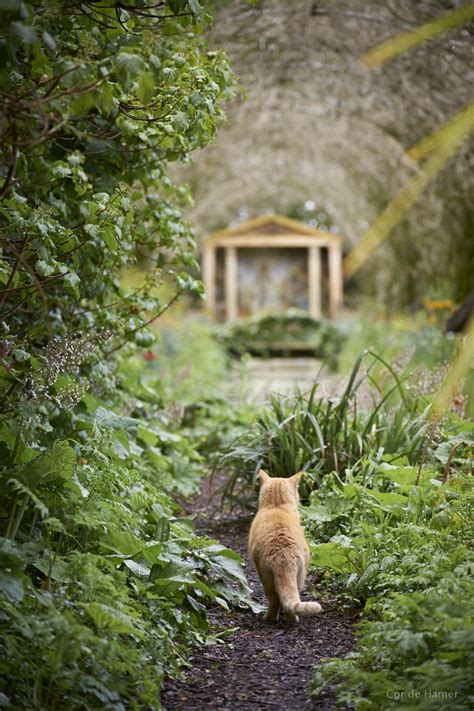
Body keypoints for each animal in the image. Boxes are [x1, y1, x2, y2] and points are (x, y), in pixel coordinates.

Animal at [248, 472, 322, 624]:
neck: (276, 505)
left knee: (274, 599)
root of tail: (283, 554)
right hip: (300, 574)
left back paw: (270, 618)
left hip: (265, 576)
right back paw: (291, 619)